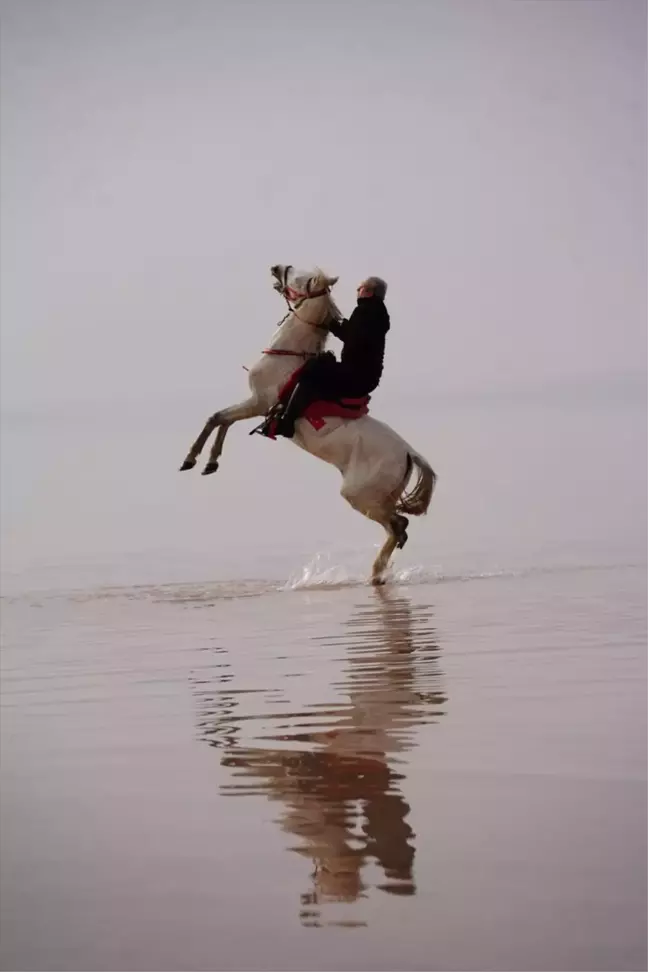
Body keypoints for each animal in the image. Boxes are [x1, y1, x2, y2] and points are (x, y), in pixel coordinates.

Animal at [180, 264, 438, 584]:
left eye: (299, 278)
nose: (276, 267)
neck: (286, 356)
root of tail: (408, 453)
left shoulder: (258, 403)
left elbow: (217, 417)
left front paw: (192, 459)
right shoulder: (255, 404)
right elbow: (221, 420)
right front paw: (209, 462)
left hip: (359, 495)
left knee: (397, 525)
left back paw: (376, 573)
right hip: (380, 495)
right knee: (399, 528)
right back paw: (378, 572)